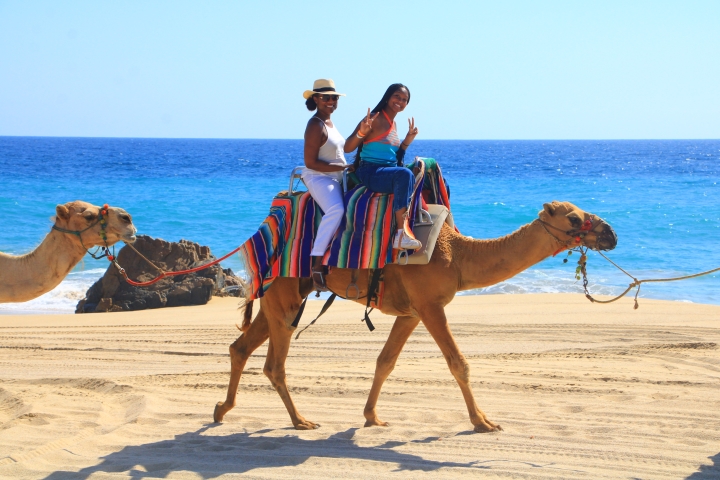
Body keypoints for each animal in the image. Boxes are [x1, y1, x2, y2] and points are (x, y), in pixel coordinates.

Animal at [214, 201, 620, 434]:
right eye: (574, 218)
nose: (612, 234)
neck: (459, 256)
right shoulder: (430, 305)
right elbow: (459, 363)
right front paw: (482, 422)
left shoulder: (411, 312)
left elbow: (385, 361)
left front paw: (371, 416)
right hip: (283, 292)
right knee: (274, 362)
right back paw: (300, 420)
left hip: (278, 294)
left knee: (240, 347)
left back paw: (222, 410)